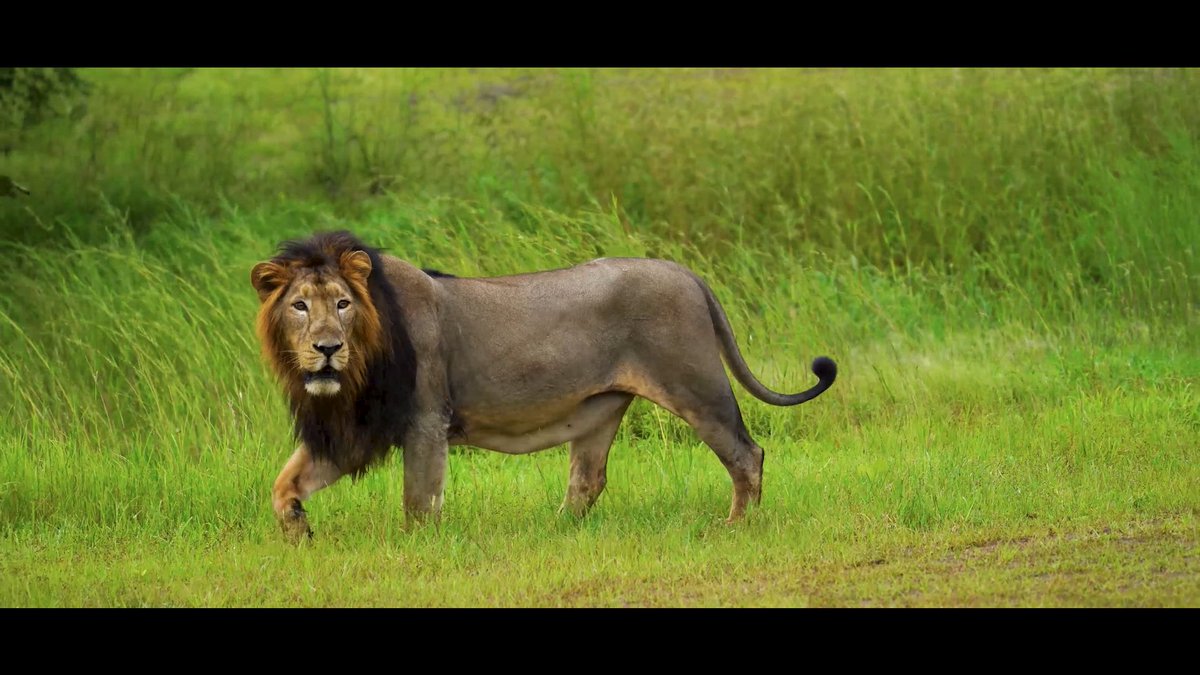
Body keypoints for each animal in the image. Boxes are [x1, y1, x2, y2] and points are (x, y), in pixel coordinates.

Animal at [252, 231, 837, 542]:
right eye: (299, 305)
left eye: (343, 304)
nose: (327, 347)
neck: (356, 367)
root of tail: (687, 273)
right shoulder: (354, 428)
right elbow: (284, 484)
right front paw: (299, 534)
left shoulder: (425, 421)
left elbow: (419, 502)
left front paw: (418, 551)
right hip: (601, 409)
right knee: (588, 481)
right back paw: (555, 532)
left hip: (695, 385)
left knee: (746, 453)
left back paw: (736, 526)